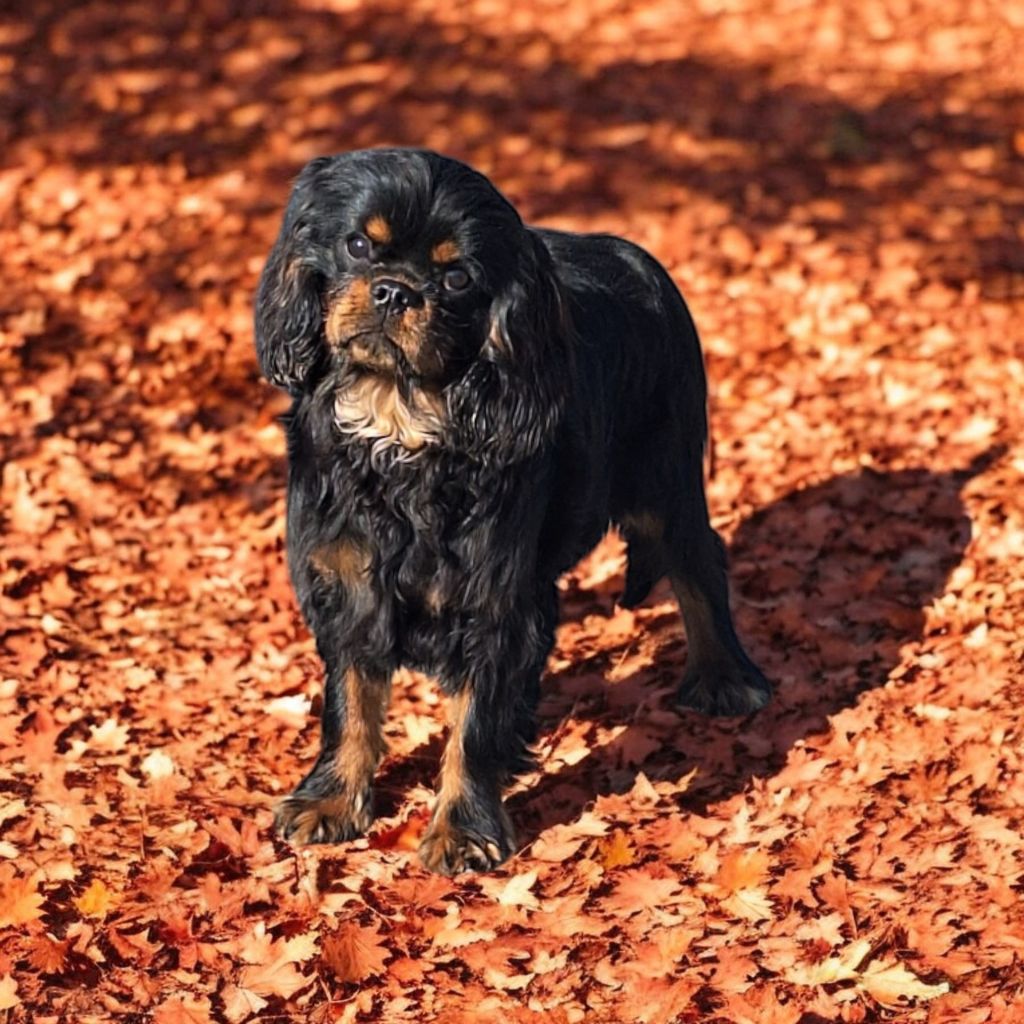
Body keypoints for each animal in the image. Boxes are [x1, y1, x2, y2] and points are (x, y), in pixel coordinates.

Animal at [253, 148, 770, 876]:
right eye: (358, 245)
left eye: (458, 276)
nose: (395, 291)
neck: (400, 421)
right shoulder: (351, 579)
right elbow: (349, 704)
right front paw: (331, 800)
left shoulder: (497, 595)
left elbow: (474, 723)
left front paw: (463, 829)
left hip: (666, 482)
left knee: (699, 569)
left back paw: (725, 679)